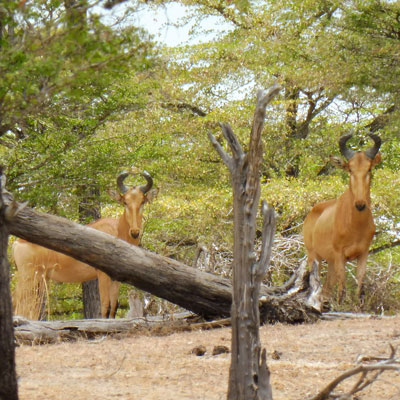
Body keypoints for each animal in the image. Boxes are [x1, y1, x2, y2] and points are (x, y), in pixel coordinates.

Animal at [12, 171, 156, 318]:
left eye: (142, 201)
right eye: (125, 201)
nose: (135, 232)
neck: (115, 229)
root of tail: (17, 242)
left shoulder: (116, 279)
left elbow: (113, 307)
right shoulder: (102, 275)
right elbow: (105, 305)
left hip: (40, 280)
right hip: (28, 278)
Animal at [304, 133, 382, 302]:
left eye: (369, 168)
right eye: (350, 169)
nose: (360, 204)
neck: (356, 226)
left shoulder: (363, 254)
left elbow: (360, 286)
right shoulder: (340, 255)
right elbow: (342, 290)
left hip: (331, 262)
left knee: (326, 290)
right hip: (314, 256)